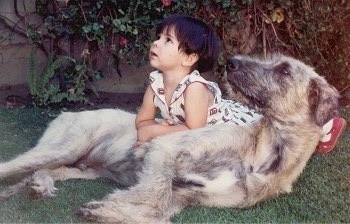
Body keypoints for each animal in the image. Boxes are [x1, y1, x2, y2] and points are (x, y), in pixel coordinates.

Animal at [0, 53, 340, 222]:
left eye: (284, 71)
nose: (232, 61)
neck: (265, 155)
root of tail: (66, 113)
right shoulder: (167, 148)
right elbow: (154, 194)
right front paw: (110, 206)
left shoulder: (186, 196)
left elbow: (159, 213)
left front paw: (109, 210)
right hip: (66, 145)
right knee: (13, 165)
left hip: (78, 167)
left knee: (41, 172)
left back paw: (38, 186)